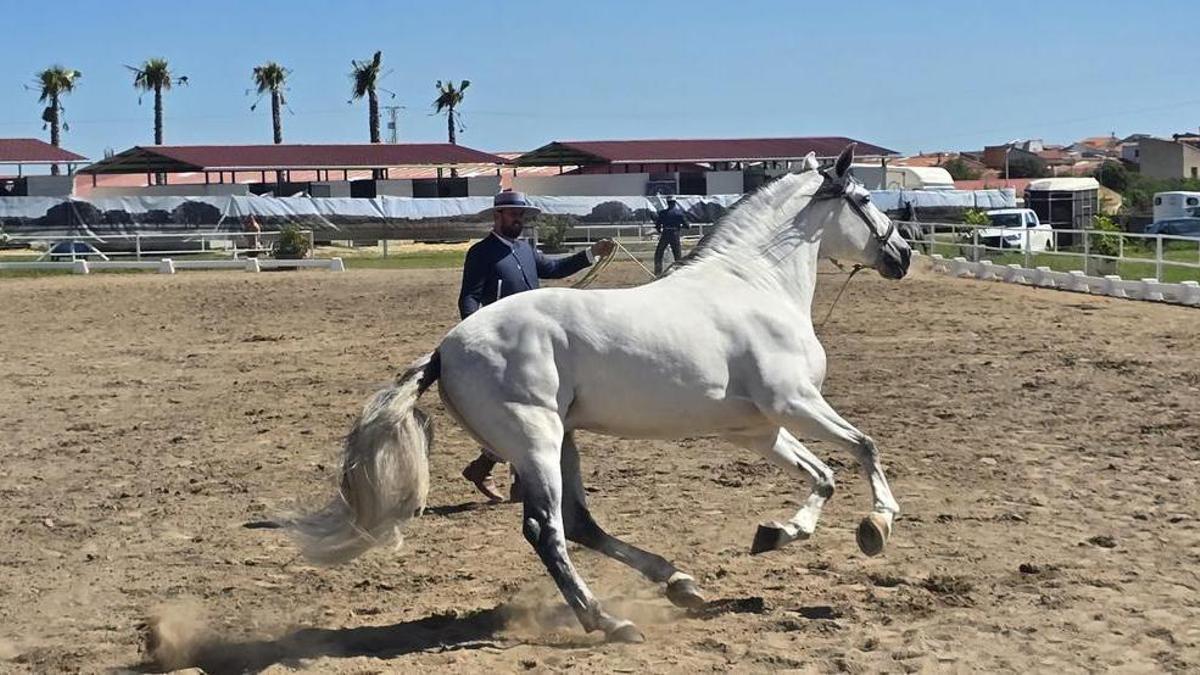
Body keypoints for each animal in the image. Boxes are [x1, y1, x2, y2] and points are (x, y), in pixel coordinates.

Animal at [281, 143, 912, 644]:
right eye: (864, 197)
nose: (903, 254)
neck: (755, 287)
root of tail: (445, 349)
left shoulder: (758, 429)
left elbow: (823, 476)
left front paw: (778, 533)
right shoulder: (795, 403)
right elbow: (864, 447)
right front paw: (876, 527)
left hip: (563, 440)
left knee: (581, 522)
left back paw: (680, 584)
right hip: (536, 440)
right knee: (547, 530)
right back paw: (608, 621)